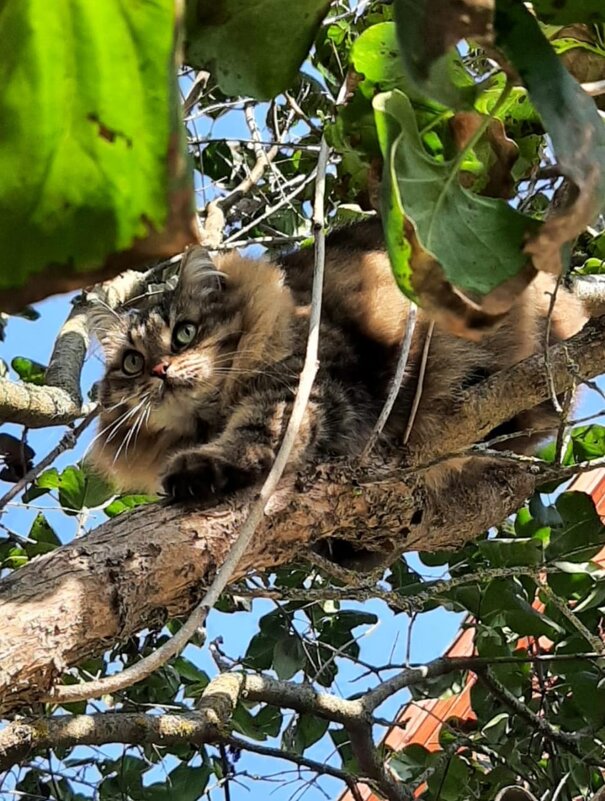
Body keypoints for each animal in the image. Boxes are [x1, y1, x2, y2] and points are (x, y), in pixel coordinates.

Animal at [87, 219, 588, 504]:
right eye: (132, 363)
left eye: (185, 333)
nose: (159, 370)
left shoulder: (306, 379)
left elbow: (256, 432)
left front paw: (202, 467)